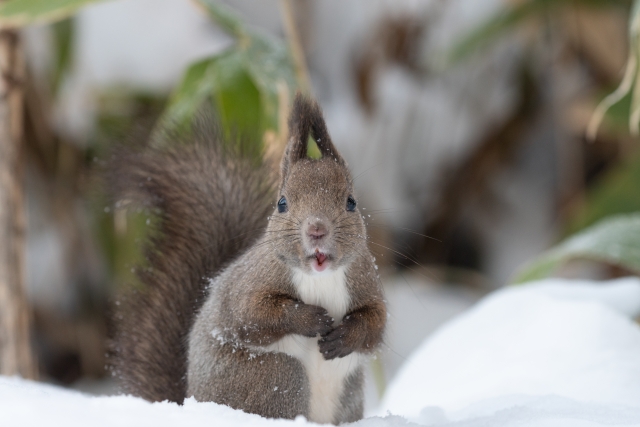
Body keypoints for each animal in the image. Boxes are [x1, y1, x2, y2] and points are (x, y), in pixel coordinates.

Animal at [111, 93, 384, 424]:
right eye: (282, 203)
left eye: (351, 202)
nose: (317, 229)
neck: (320, 278)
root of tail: (190, 401)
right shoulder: (252, 281)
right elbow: (250, 314)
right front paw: (309, 318)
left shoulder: (364, 280)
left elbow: (375, 324)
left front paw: (344, 336)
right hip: (273, 376)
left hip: (348, 392)